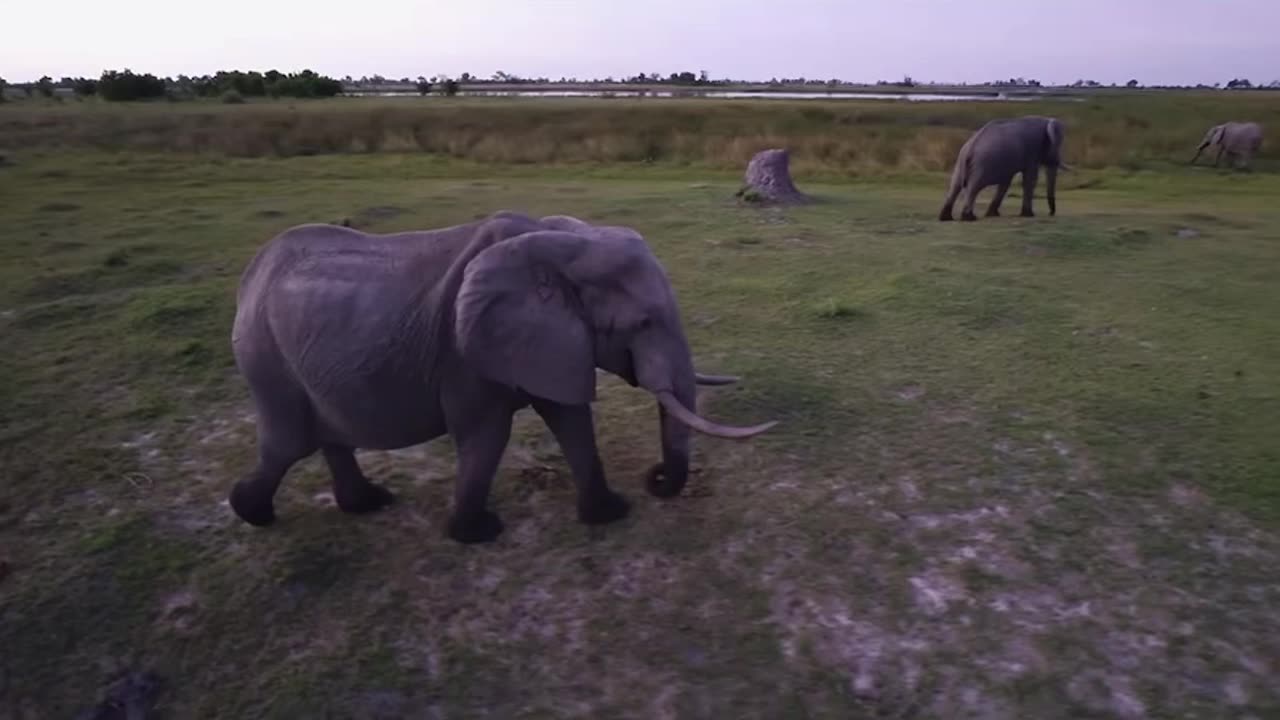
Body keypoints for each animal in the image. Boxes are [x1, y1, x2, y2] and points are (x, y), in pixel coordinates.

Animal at [225, 210, 773, 540]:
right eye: (642, 324)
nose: (655, 479)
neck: (563, 243)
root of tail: (250, 275)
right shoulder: (465, 351)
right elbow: (487, 434)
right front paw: (479, 534)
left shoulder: (551, 339)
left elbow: (570, 420)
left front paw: (609, 514)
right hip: (265, 355)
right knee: (289, 442)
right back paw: (249, 512)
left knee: (325, 435)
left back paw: (366, 504)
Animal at [942, 114, 1070, 220]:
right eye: (1057, 145)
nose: (1050, 213)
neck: (1046, 121)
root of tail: (970, 149)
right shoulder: (1032, 150)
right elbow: (1030, 179)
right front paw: (1028, 215)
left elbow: (1005, 182)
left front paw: (992, 214)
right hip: (980, 165)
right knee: (973, 187)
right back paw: (969, 218)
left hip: (960, 162)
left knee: (955, 186)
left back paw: (946, 218)